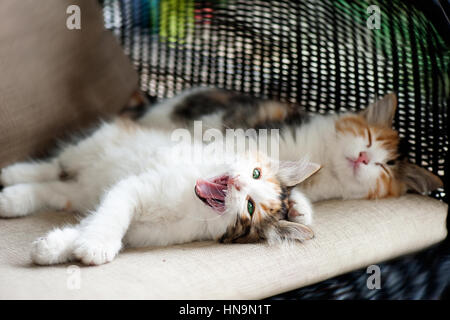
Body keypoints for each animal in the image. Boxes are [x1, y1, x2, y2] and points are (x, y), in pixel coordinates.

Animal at [0, 119, 318, 266]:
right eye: (256, 173)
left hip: (76, 193)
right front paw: (96, 244)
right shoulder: (132, 188)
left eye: (250, 208)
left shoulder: (141, 231)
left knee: (51, 189)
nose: (239, 184)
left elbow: (86, 226)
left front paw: (52, 248)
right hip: (87, 150)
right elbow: (111, 217)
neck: (190, 204)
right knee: (52, 166)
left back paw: (11, 199)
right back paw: (11, 174)